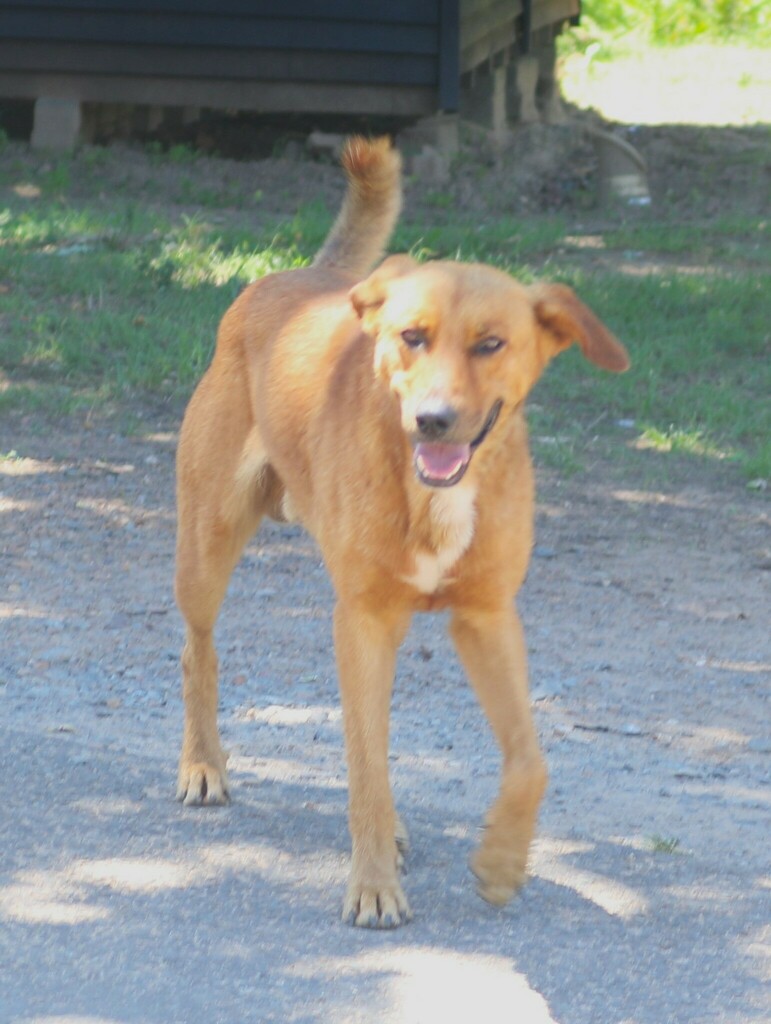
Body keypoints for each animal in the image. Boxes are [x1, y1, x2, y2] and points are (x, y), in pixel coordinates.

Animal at [173, 136, 626, 929]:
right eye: (412, 338)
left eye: (490, 344)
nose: (433, 420)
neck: (435, 493)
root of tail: (301, 277)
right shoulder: (363, 620)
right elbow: (368, 770)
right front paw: (375, 883)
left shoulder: (485, 616)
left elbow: (530, 759)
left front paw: (501, 862)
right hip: (206, 546)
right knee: (199, 651)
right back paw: (203, 764)